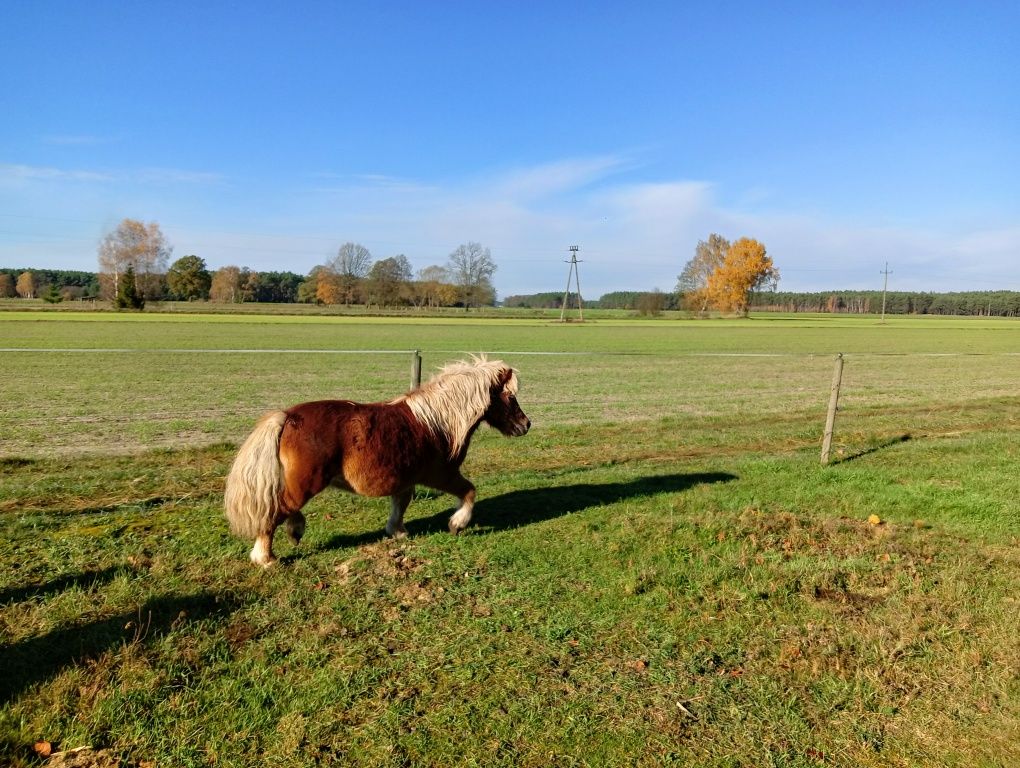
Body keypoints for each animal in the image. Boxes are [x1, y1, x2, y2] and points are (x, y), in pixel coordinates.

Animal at [225, 356, 534, 567]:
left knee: (285, 508)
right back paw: (265, 557)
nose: (526, 425)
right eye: (510, 397)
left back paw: (295, 530)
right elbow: (469, 492)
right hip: (306, 484)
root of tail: (287, 417)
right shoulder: (441, 474)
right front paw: (457, 524)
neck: (437, 421)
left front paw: (397, 532)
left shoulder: (407, 479)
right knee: (274, 512)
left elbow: (401, 503)